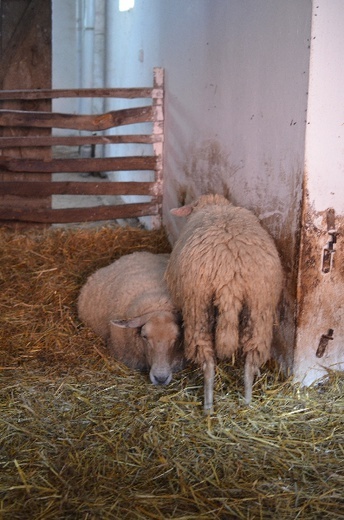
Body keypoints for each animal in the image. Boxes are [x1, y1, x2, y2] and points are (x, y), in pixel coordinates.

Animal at [165, 193, 284, 412]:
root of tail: (230, 278)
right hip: (259, 308)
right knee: (251, 359)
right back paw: (247, 402)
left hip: (198, 308)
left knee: (208, 362)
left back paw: (208, 405)